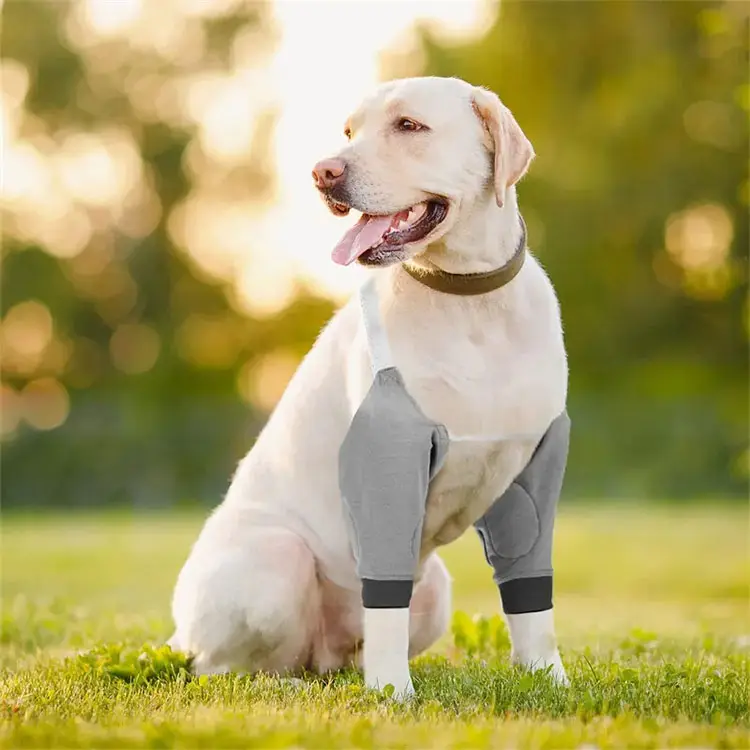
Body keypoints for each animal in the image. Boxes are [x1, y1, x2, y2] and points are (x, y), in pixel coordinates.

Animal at [169, 76, 568, 700]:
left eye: (409, 126)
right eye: (350, 130)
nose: (322, 172)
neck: (470, 300)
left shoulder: (533, 473)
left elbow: (532, 599)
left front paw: (550, 681)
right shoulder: (386, 464)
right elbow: (384, 593)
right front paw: (392, 695)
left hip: (435, 590)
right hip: (276, 559)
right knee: (226, 667)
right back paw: (285, 689)